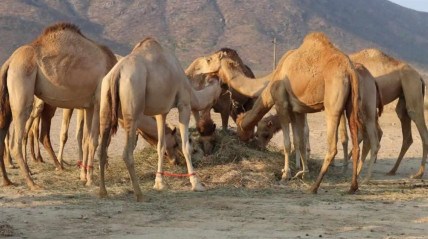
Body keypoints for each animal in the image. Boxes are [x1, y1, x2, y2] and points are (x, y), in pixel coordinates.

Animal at [0, 22, 117, 189]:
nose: (107, 165)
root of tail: (9, 62)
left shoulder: (90, 106)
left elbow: (86, 140)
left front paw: (83, 176)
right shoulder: (99, 101)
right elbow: (94, 140)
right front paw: (90, 179)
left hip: (8, 100)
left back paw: (7, 180)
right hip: (22, 87)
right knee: (16, 142)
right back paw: (32, 183)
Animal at [97, 37, 222, 202]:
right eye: (209, 59)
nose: (221, 54)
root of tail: (117, 73)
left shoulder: (161, 112)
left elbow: (160, 146)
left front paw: (159, 183)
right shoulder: (184, 104)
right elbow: (185, 146)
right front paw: (197, 184)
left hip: (105, 104)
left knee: (101, 150)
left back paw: (103, 192)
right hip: (133, 107)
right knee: (127, 153)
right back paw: (140, 195)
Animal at [203, 32, 362, 192]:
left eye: (211, 59)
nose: (243, 138)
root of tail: (349, 71)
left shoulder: (281, 104)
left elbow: (287, 143)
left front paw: (286, 174)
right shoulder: (298, 110)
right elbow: (299, 141)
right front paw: (304, 173)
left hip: (332, 105)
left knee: (332, 147)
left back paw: (314, 187)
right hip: (351, 105)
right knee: (356, 143)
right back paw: (353, 186)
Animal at [352, 49, 428, 179]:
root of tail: (419, 76)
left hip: (412, 86)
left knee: (417, 120)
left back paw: (418, 174)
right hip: (403, 96)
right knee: (406, 128)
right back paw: (392, 170)